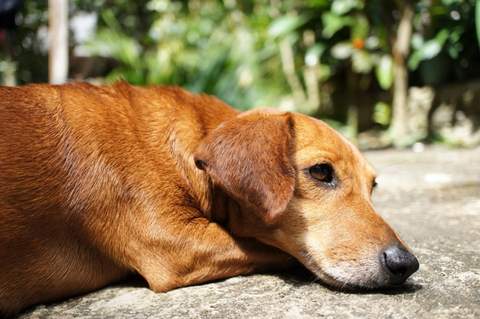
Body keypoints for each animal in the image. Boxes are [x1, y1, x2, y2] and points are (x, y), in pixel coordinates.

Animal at [0, 82, 418, 318]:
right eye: (320, 172)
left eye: (373, 187)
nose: (407, 264)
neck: (190, 154)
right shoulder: (170, 243)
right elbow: (276, 251)